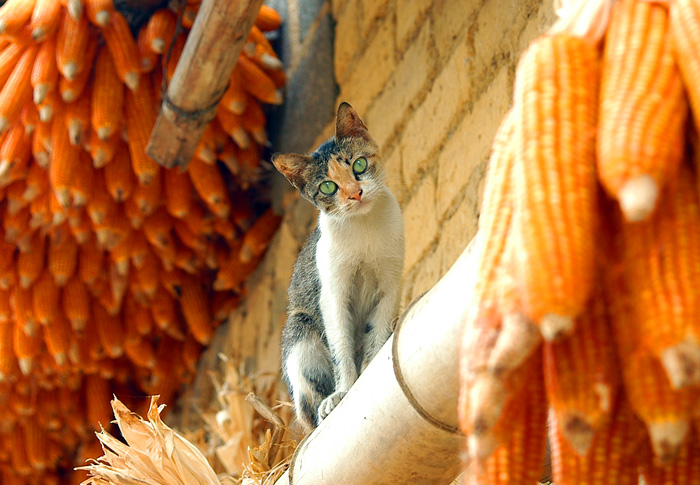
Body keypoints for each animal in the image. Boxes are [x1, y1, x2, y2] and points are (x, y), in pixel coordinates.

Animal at [274, 103, 404, 432]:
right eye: (328, 186)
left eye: (359, 165)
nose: (355, 192)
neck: (363, 228)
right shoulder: (332, 293)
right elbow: (340, 344)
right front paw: (345, 390)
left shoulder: (391, 282)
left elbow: (376, 329)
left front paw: (370, 365)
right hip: (299, 330)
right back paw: (324, 407)